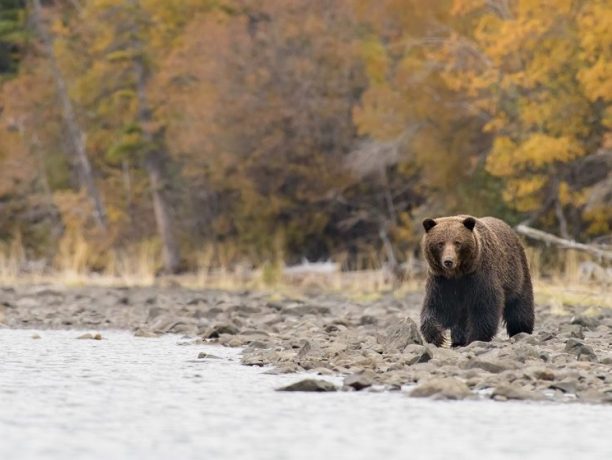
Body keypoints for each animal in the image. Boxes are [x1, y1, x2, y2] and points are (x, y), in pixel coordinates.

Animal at [418, 214, 532, 346]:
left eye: (457, 242)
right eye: (440, 243)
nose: (448, 261)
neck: (458, 274)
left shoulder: (479, 275)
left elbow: (484, 305)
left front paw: (476, 337)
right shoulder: (441, 281)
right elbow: (438, 306)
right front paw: (436, 336)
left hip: (517, 273)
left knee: (520, 305)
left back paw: (521, 330)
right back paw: (458, 339)